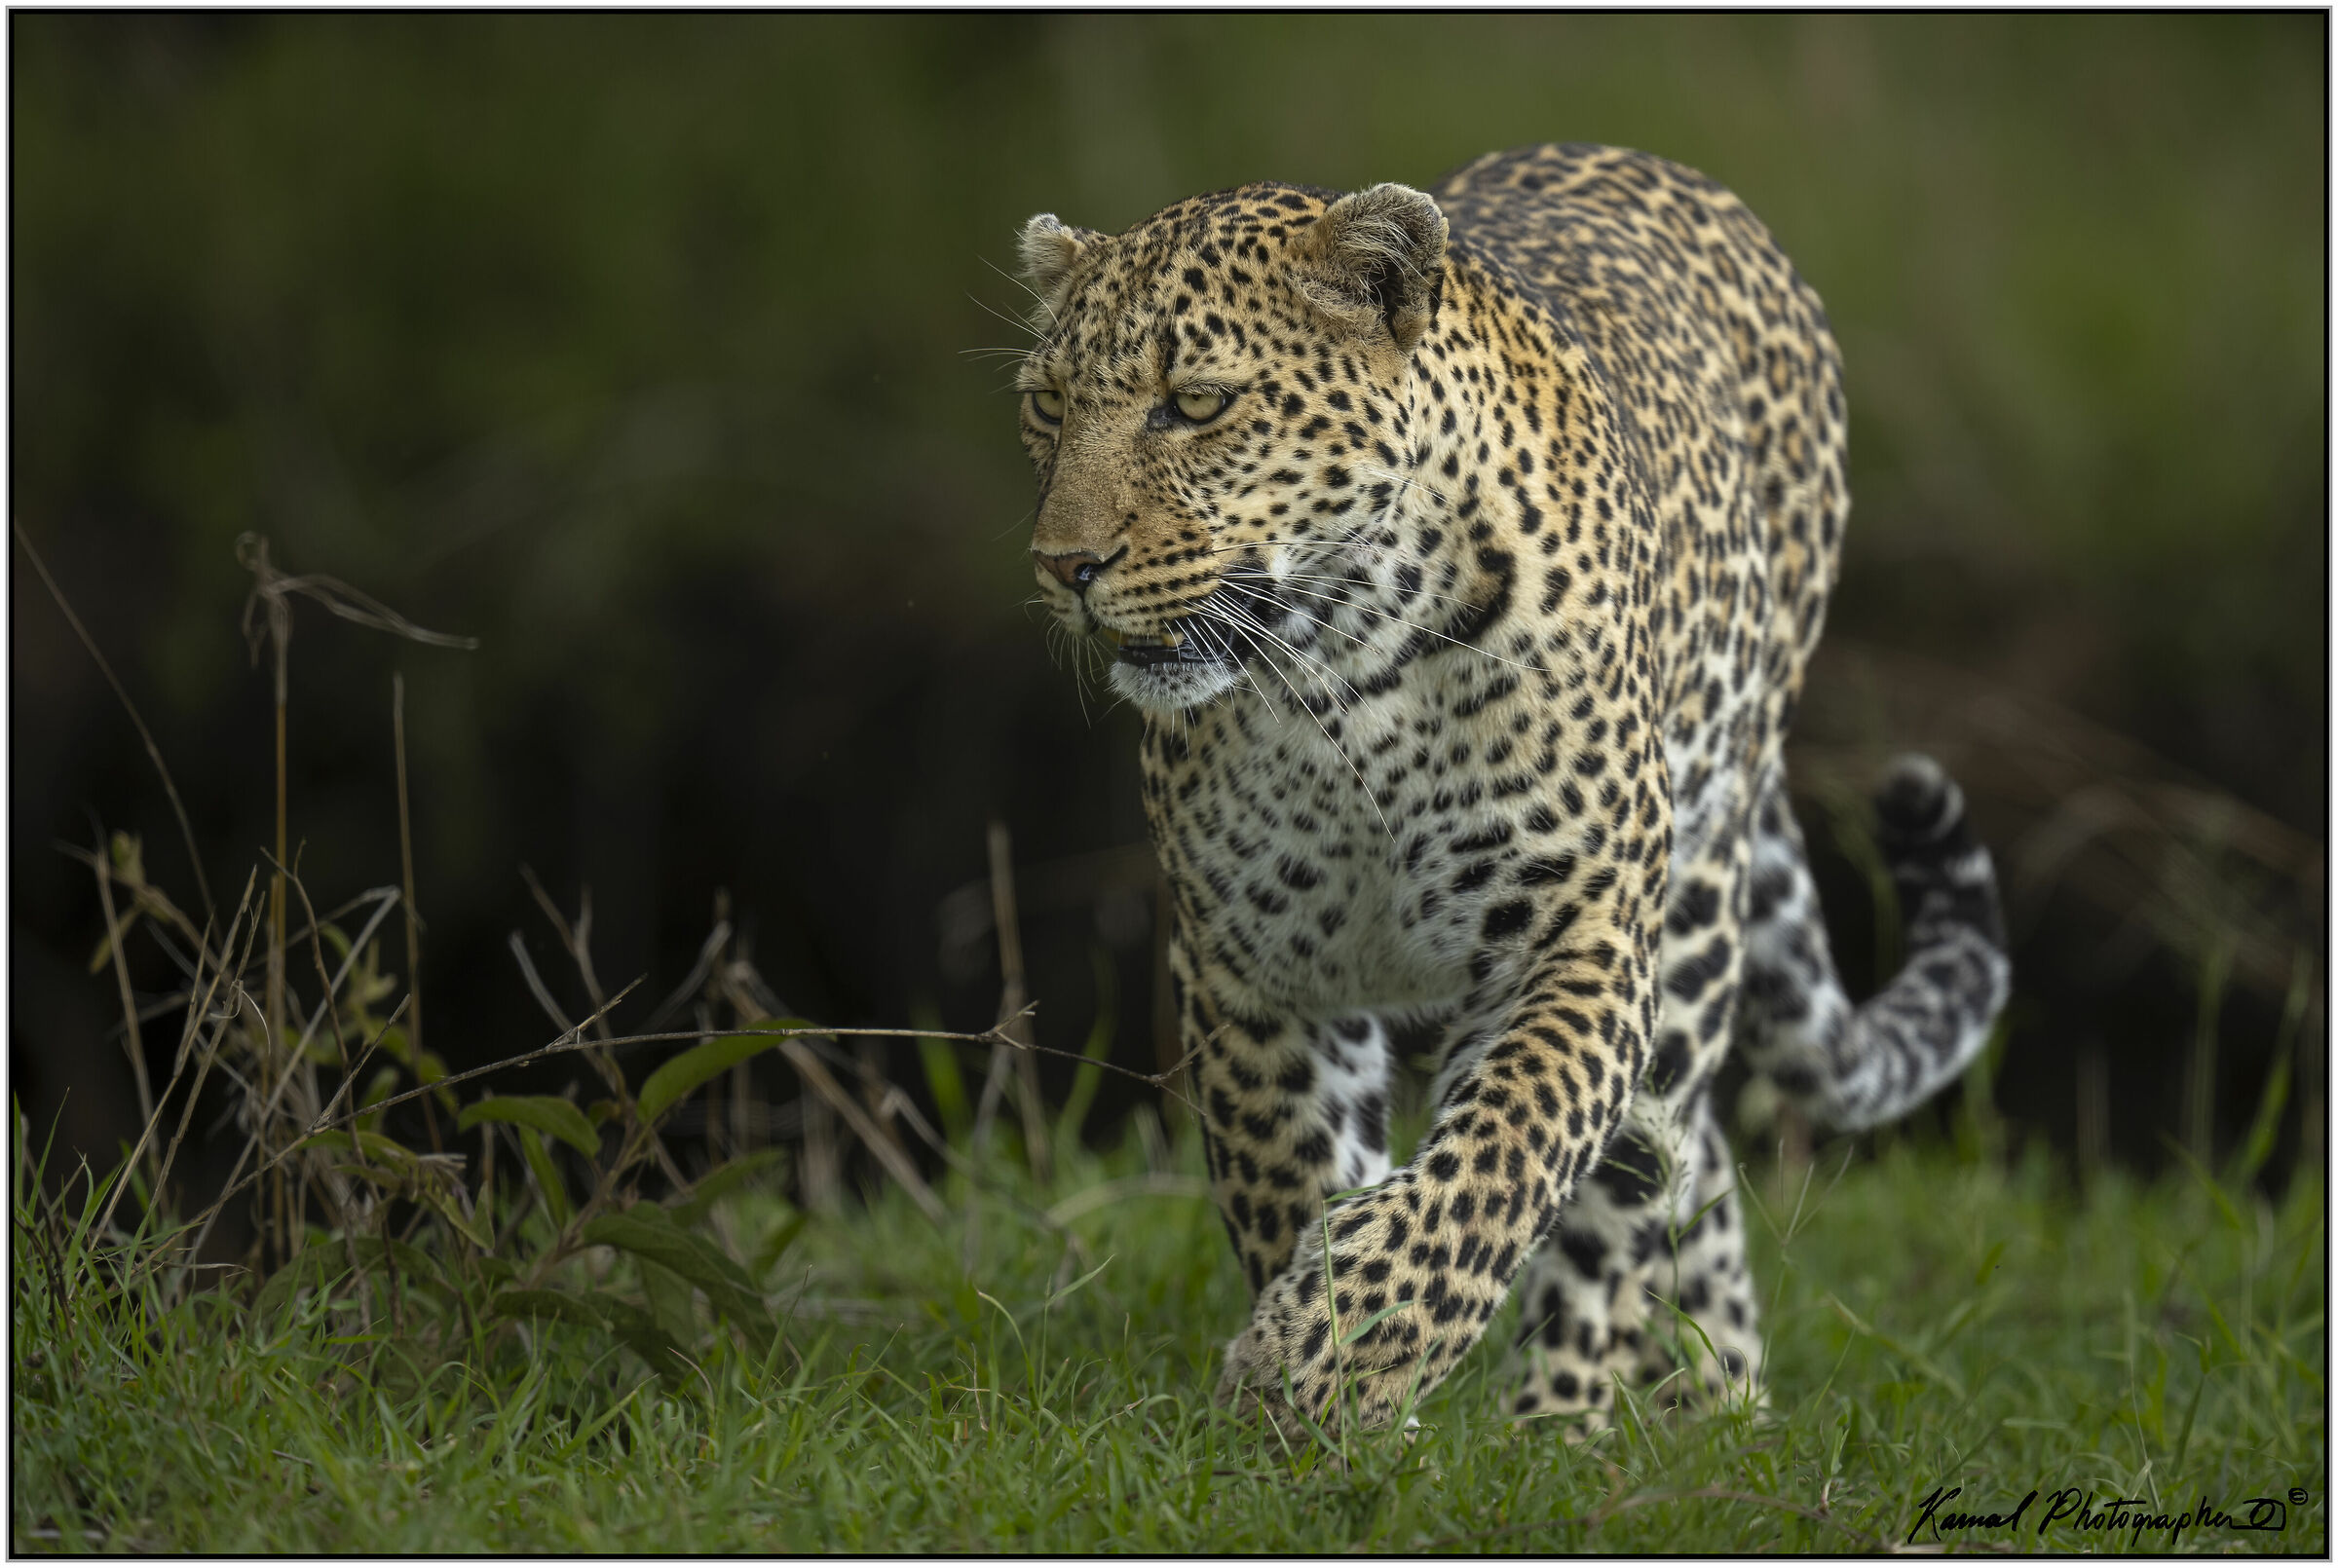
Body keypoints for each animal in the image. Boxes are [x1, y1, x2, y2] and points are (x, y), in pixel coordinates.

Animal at [1009, 142, 2010, 1437]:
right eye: (1048, 405)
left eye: (1196, 403)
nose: (1063, 566)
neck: (1345, 670)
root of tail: (1657, 163)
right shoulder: (1252, 964)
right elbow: (1296, 1173)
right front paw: (1320, 1397)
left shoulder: (1577, 934)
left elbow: (1502, 1161)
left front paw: (1330, 1367)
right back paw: (1720, 1402)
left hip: (1692, 915)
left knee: (1640, 1175)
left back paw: (1577, 1422)